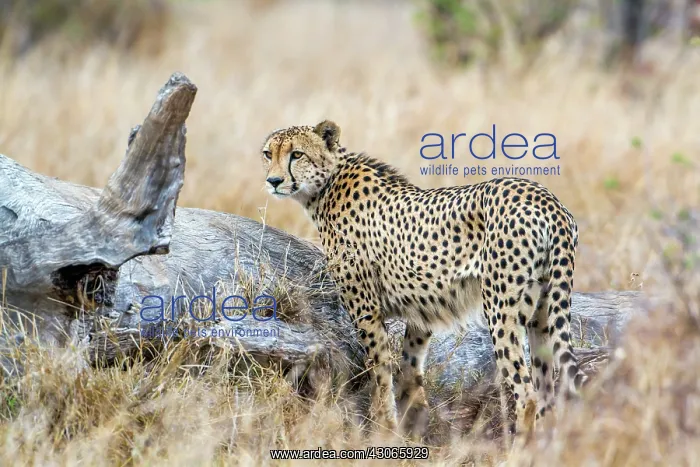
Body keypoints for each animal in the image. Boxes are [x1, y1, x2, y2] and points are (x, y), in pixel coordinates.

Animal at [259, 120, 587, 442]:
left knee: (526, 393)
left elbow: (380, 373)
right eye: (268, 154)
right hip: (542, 313)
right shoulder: (422, 311)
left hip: (501, 308)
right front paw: (413, 427)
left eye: (297, 154)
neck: (326, 186)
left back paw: (519, 449)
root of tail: (545, 198)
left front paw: (385, 430)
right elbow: (409, 373)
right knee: (546, 394)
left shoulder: (367, 312)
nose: (273, 181)